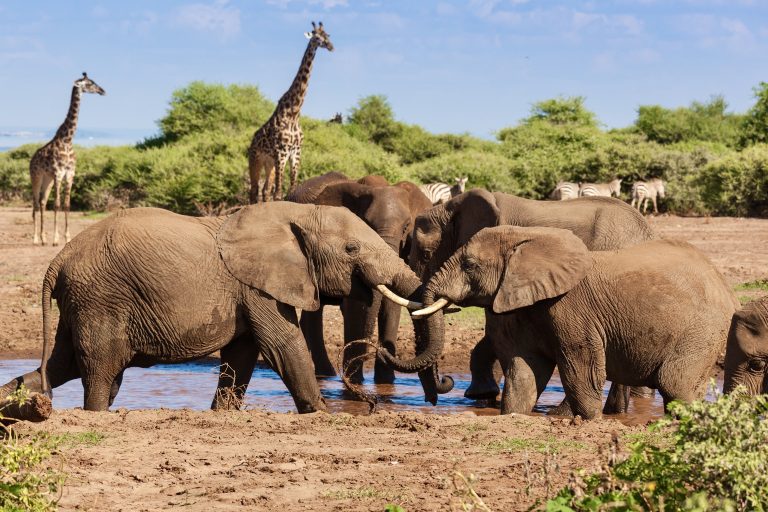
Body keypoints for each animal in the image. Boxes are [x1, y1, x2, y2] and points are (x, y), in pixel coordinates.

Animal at [0, 202, 436, 420]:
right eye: (351, 249)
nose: (371, 404)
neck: (294, 213)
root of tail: (58, 260)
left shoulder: (251, 288)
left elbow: (243, 354)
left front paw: (223, 413)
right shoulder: (257, 285)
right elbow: (282, 344)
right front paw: (323, 415)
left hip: (83, 301)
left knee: (62, 364)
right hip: (99, 298)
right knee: (100, 372)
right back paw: (92, 415)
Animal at [30, 72, 105, 245]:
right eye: (89, 84)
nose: (102, 91)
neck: (67, 140)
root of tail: (31, 160)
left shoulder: (70, 174)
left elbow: (67, 205)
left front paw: (68, 237)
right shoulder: (58, 174)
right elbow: (57, 205)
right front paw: (56, 239)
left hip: (47, 179)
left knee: (43, 202)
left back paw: (43, 238)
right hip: (36, 177)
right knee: (35, 204)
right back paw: (36, 239)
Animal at [248, 21, 333, 203]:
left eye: (328, 36)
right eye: (316, 36)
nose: (331, 46)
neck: (294, 113)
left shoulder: (295, 152)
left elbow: (291, 188)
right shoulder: (281, 152)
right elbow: (279, 194)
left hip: (269, 163)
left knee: (265, 190)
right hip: (255, 159)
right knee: (254, 190)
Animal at [407, 188, 658, 411]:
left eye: (427, 254)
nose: (445, 382)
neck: (454, 205)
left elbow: (497, 331)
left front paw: (482, 395)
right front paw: (483, 398)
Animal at [409, 226, 738, 419]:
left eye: (470, 265)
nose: (446, 381)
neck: (529, 239)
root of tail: (723, 284)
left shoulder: (572, 310)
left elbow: (582, 369)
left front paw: (590, 421)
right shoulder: (527, 307)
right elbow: (524, 371)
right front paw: (514, 416)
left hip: (702, 328)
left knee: (676, 384)